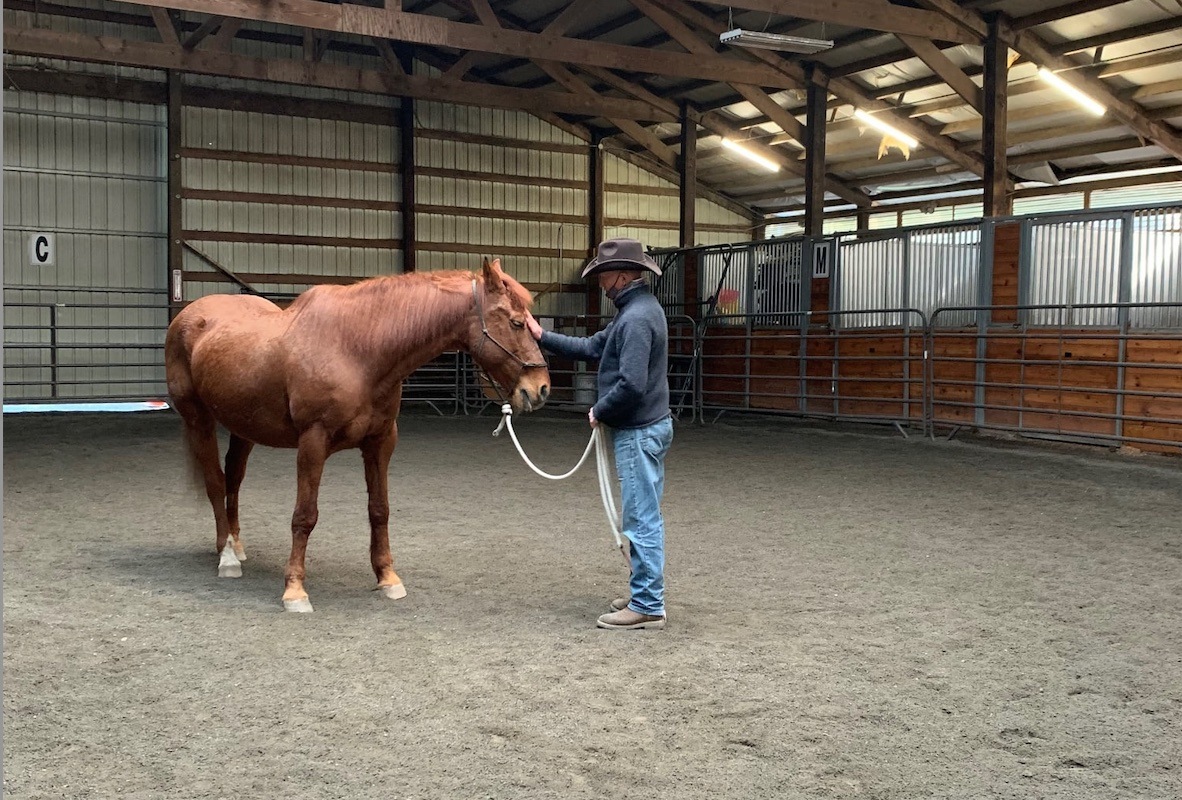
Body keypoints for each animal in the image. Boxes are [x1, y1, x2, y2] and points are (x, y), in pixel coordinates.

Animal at [164, 257, 550, 609]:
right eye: (516, 322)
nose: (540, 389)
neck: (357, 348)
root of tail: (189, 316)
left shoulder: (380, 442)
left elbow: (379, 510)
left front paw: (388, 578)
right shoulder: (312, 442)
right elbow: (304, 516)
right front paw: (295, 590)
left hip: (244, 428)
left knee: (233, 480)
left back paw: (236, 546)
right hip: (199, 420)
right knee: (215, 483)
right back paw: (227, 556)